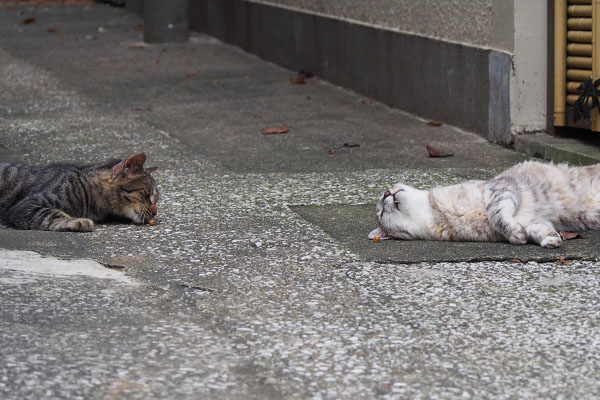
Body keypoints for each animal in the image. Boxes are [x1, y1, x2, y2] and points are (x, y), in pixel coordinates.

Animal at [368, 159, 600, 247]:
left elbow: (497, 215)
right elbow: (535, 229)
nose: (386, 193)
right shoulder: (533, 219)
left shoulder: (502, 189)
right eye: (380, 213)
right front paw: (547, 238)